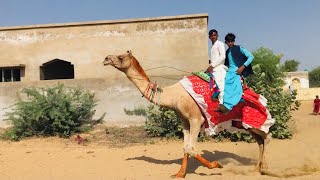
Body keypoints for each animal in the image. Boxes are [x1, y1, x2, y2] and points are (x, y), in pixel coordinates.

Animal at [102, 50, 272, 177]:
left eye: (121, 57)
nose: (105, 58)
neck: (172, 95)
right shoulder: (184, 120)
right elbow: (185, 147)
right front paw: (179, 174)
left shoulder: (196, 119)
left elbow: (191, 148)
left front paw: (216, 165)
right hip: (239, 122)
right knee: (260, 139)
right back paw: (256, 168)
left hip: (251, 116)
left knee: (266, 136)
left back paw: (265, 169)